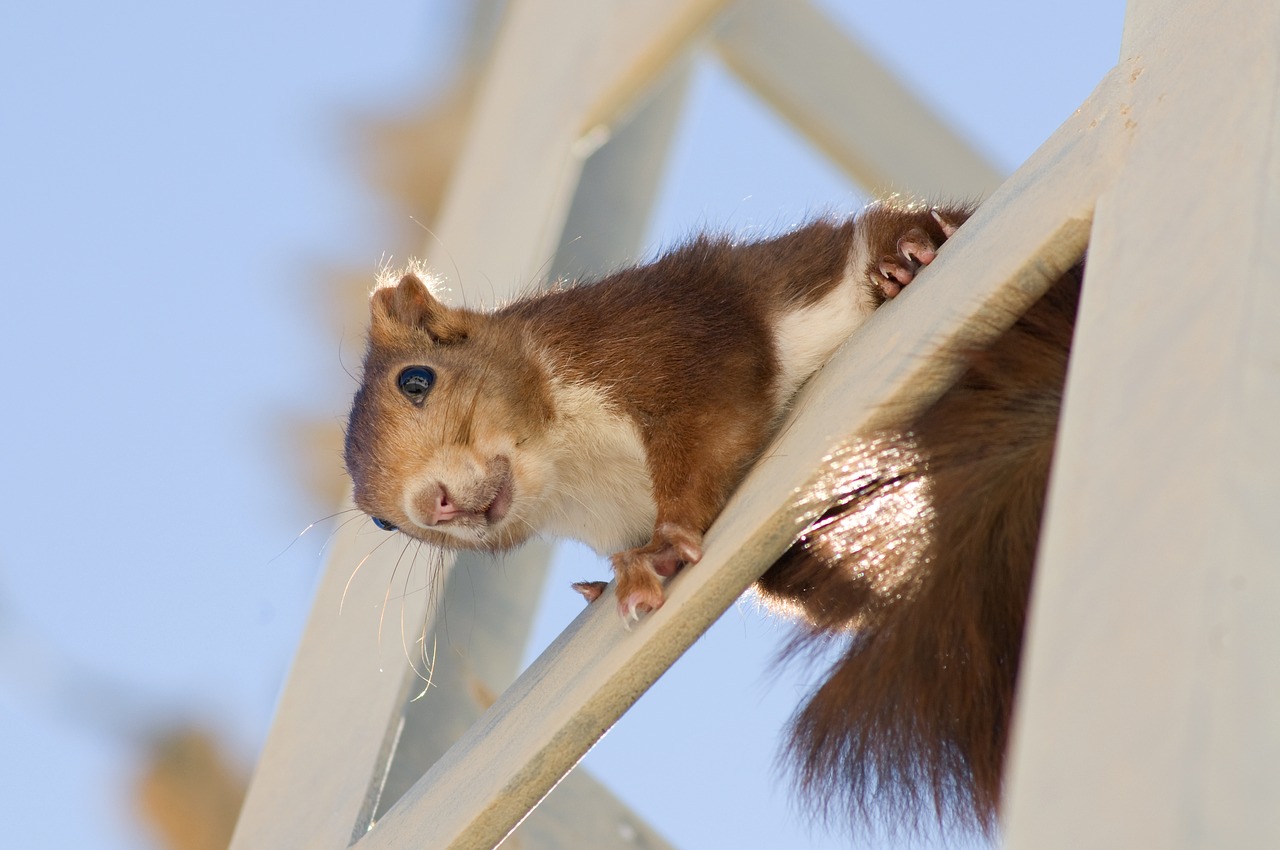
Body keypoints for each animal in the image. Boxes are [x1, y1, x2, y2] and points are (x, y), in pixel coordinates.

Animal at [343, 197, 1080, 829]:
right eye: (378, 521)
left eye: (417, 380)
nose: (431, 506)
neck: (574, 476)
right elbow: (820, 589)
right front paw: (607, 582)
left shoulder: (663, 337)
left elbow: (708, 429)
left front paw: (663, 547)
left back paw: (908, 254)